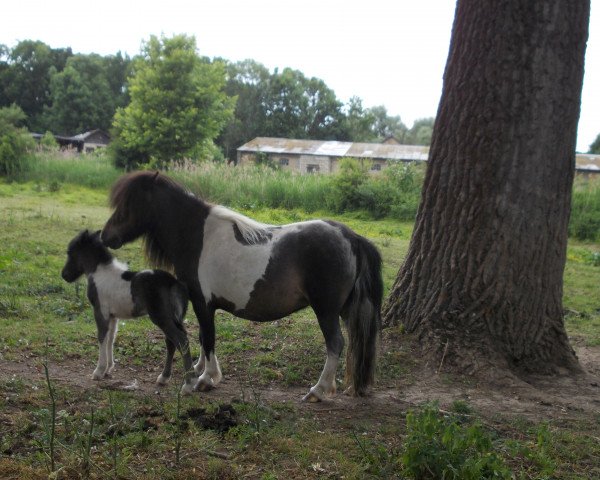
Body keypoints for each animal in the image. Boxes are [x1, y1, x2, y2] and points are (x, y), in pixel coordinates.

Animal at [60, 230, 195, 394]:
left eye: (70, 252)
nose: (64, 275)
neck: (100, 273)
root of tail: (174, 283)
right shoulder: (113, 316)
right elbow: (111, 338)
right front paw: (108, 369)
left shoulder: (100, 312)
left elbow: (101, 337)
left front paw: (99, 371)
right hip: (175, 318)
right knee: (172, 342)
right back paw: (163, 378)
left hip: (161, 317)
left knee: (181, 340)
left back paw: (188, 385)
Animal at [98, 172, 380, 402]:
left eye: (130, 203)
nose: (105, 235)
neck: (197, 236)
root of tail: (352, 237)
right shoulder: (204, 304)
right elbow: (203, 337)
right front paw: (199, 369)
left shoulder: (202, 302)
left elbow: (208, 338)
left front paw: (206, 379)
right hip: (343, 311)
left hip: (326, 310)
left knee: (335, 343)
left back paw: (318, 391)